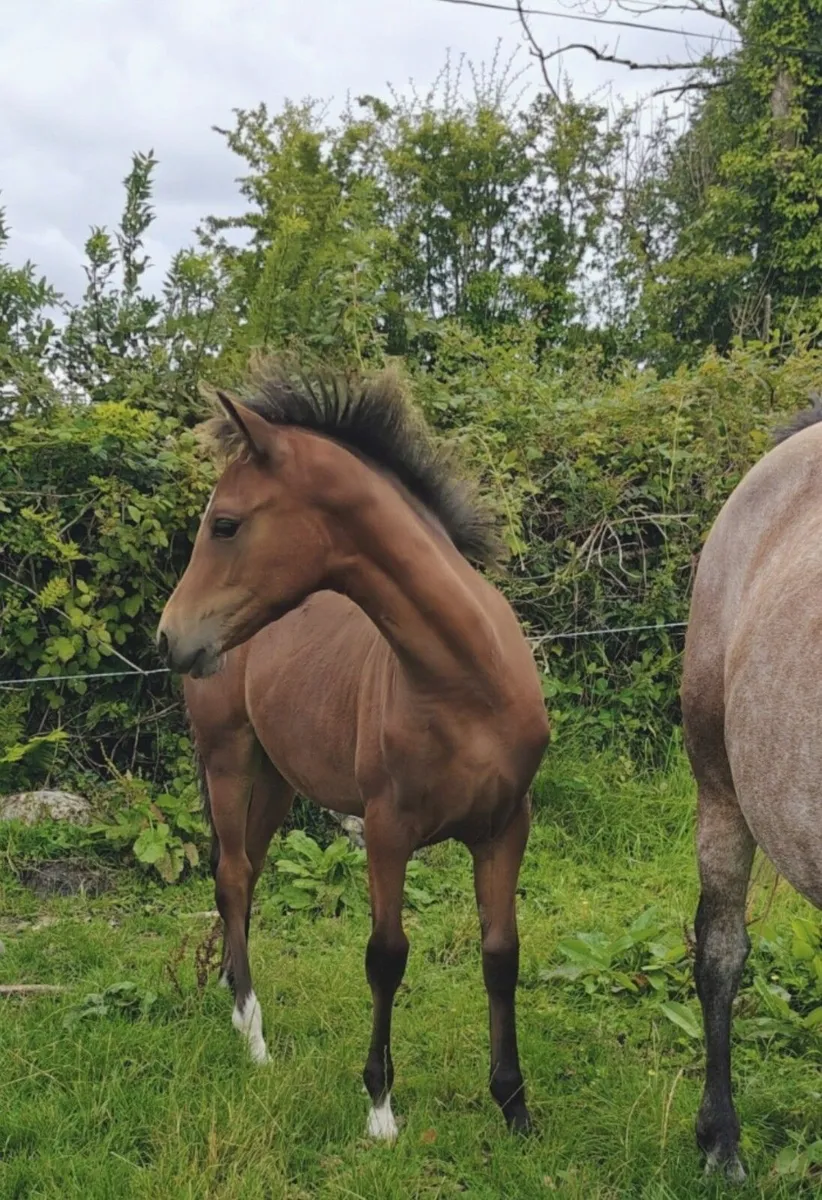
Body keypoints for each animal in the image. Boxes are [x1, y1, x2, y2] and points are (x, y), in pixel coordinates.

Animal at [157, 367, 549, 1139]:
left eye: (226, 524)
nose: (169, 635)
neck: (465, 681)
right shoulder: (388, 830)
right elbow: (386, 957)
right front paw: (379, 1107)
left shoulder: (503, 827)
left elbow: (501, 954)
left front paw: (513, 1104)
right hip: (227, 756)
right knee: (233, 875)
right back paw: (252, 1031)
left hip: (277, 777)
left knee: (248, 870)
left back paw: (233, 997)